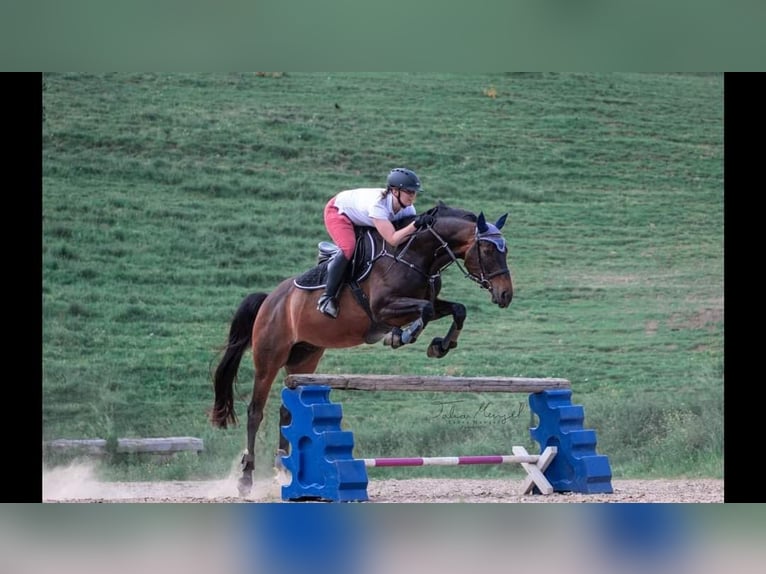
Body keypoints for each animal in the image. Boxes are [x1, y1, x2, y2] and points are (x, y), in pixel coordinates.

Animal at [210, 201, 513, 496]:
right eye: (487, 249)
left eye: (505, 250)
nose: (505, 295)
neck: (416, 255)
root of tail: (270, 299)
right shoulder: (383, 308)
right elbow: (424, 311)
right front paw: (402, 336)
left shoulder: (428, 301)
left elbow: (456, 309)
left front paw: (440, 345)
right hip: (269, 357)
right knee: (255, 412)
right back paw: (246, 478)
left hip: (304, 358)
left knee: (287, 412)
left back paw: (283, 470)